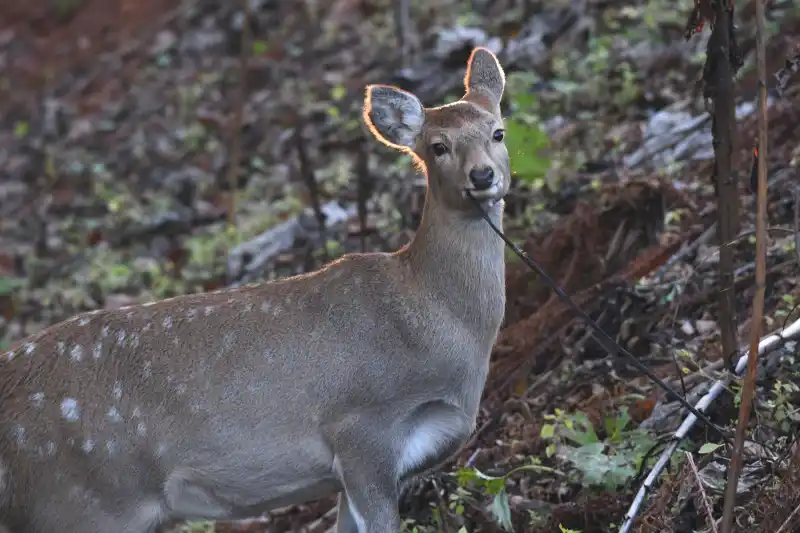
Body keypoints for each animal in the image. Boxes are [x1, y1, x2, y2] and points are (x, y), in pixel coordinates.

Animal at [0, 46, 510, 533]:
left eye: (498, 133)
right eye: (438, 146)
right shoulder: (362, 430)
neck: (432, 313)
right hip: (76, 503)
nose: (482, 176)